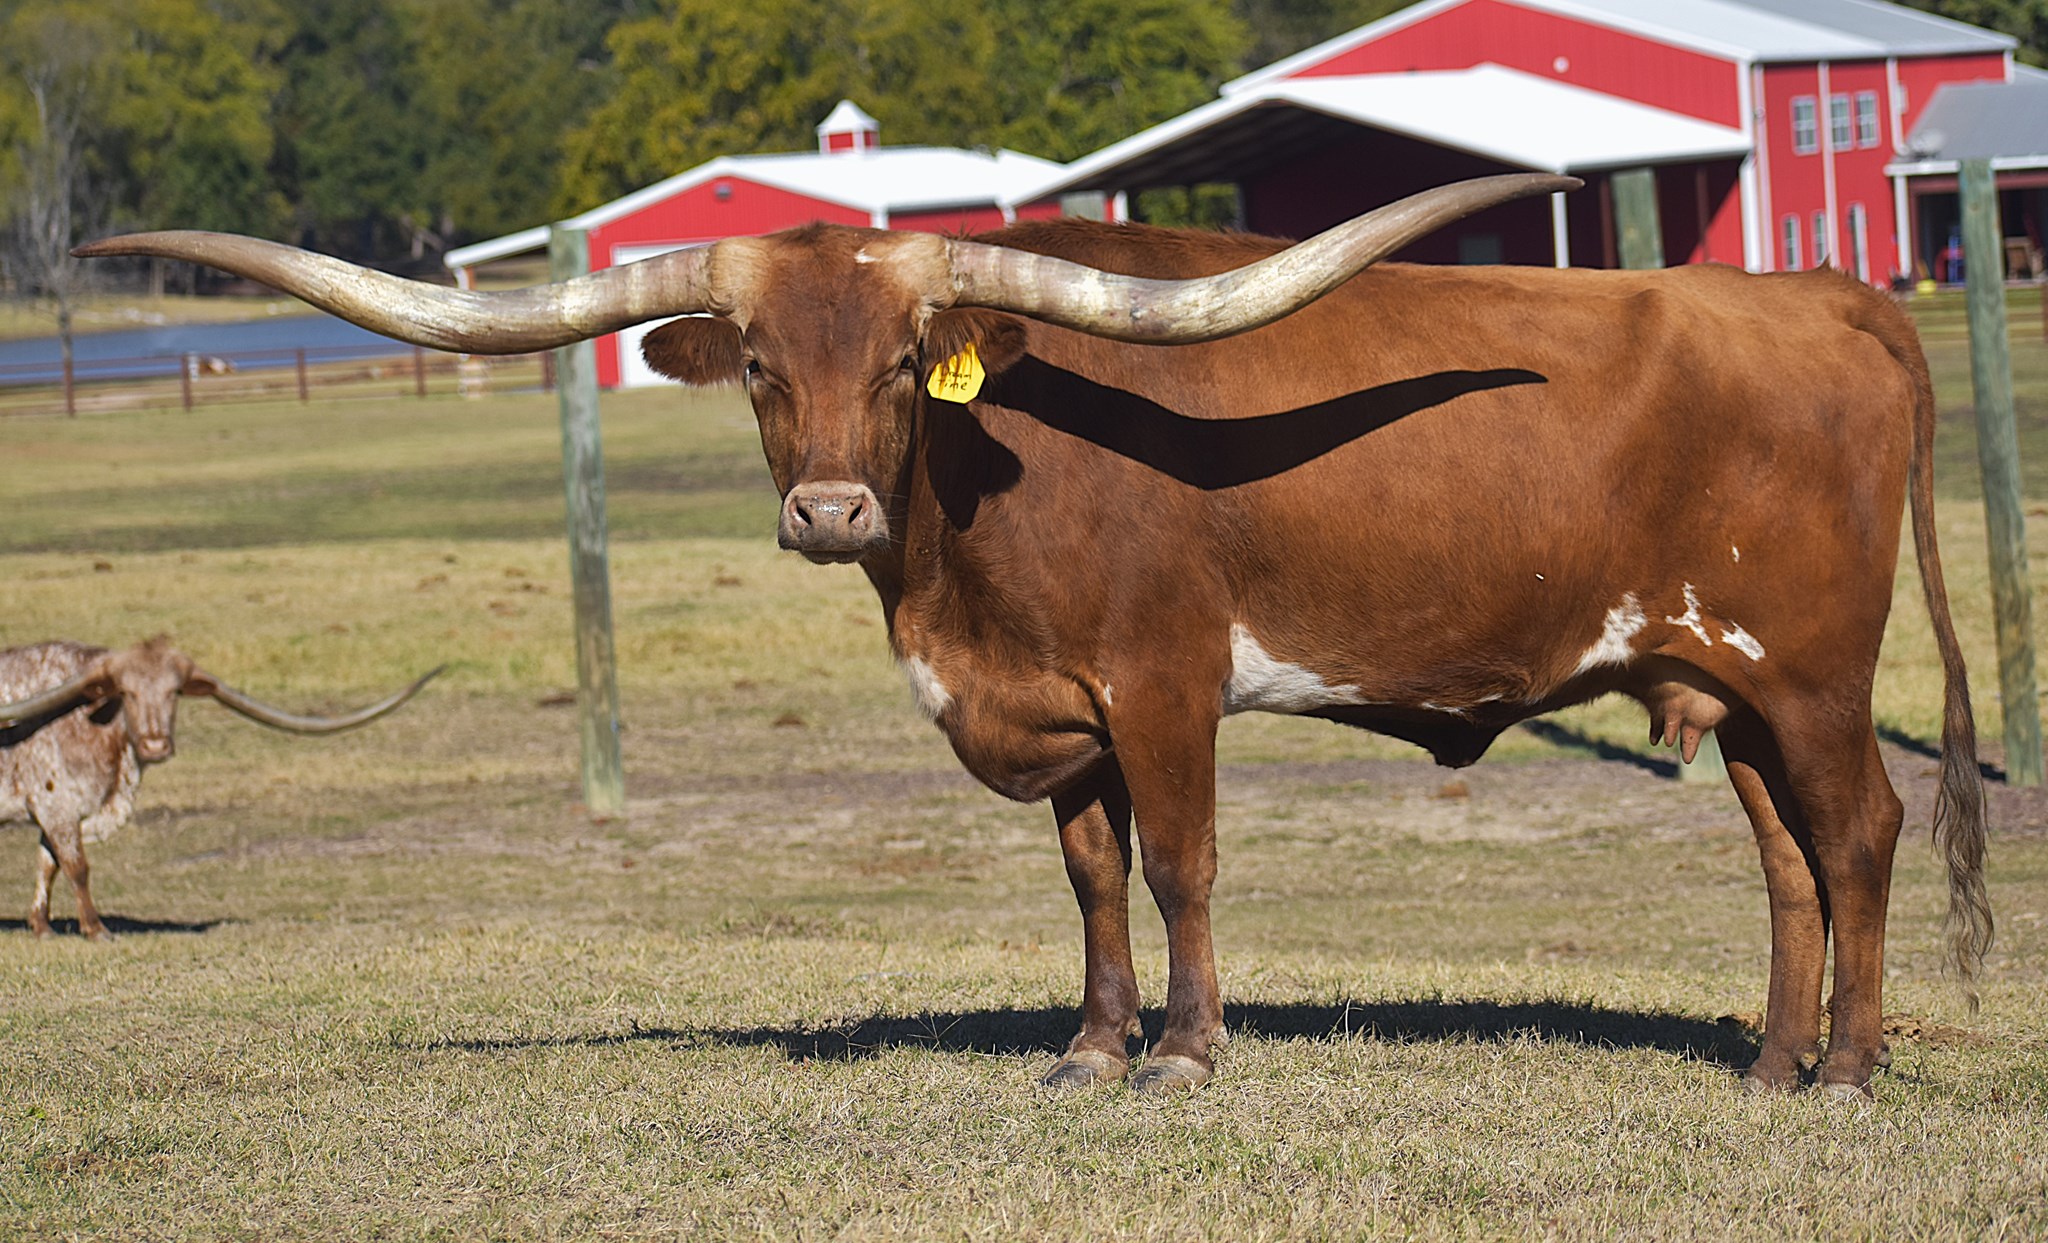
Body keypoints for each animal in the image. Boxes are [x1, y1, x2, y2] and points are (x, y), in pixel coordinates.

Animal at [1, 637, 440, 940]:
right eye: (126, 692)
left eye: (173, 693)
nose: (156, 744)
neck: (88, 719)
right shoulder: (58, 805)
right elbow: (77, 867)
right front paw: (95, 929)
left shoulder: (56, 812)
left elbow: (48, 864)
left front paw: (41, 926)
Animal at [74, 173, 1992, 1099]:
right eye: (758, 364)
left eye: (896, 366)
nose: (830, 515)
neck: (964, 552)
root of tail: (1824, 292)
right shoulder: (1057, 707)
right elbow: (1087, 878)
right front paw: (1089, 1043)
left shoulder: (1163, 683)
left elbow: (1183, 866)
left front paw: (1191, 1053)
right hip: (1722, 679)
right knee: (1786, 856)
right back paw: (1771, 1060)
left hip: (1814, 673)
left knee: (1861, 832)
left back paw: (1850, 1070)